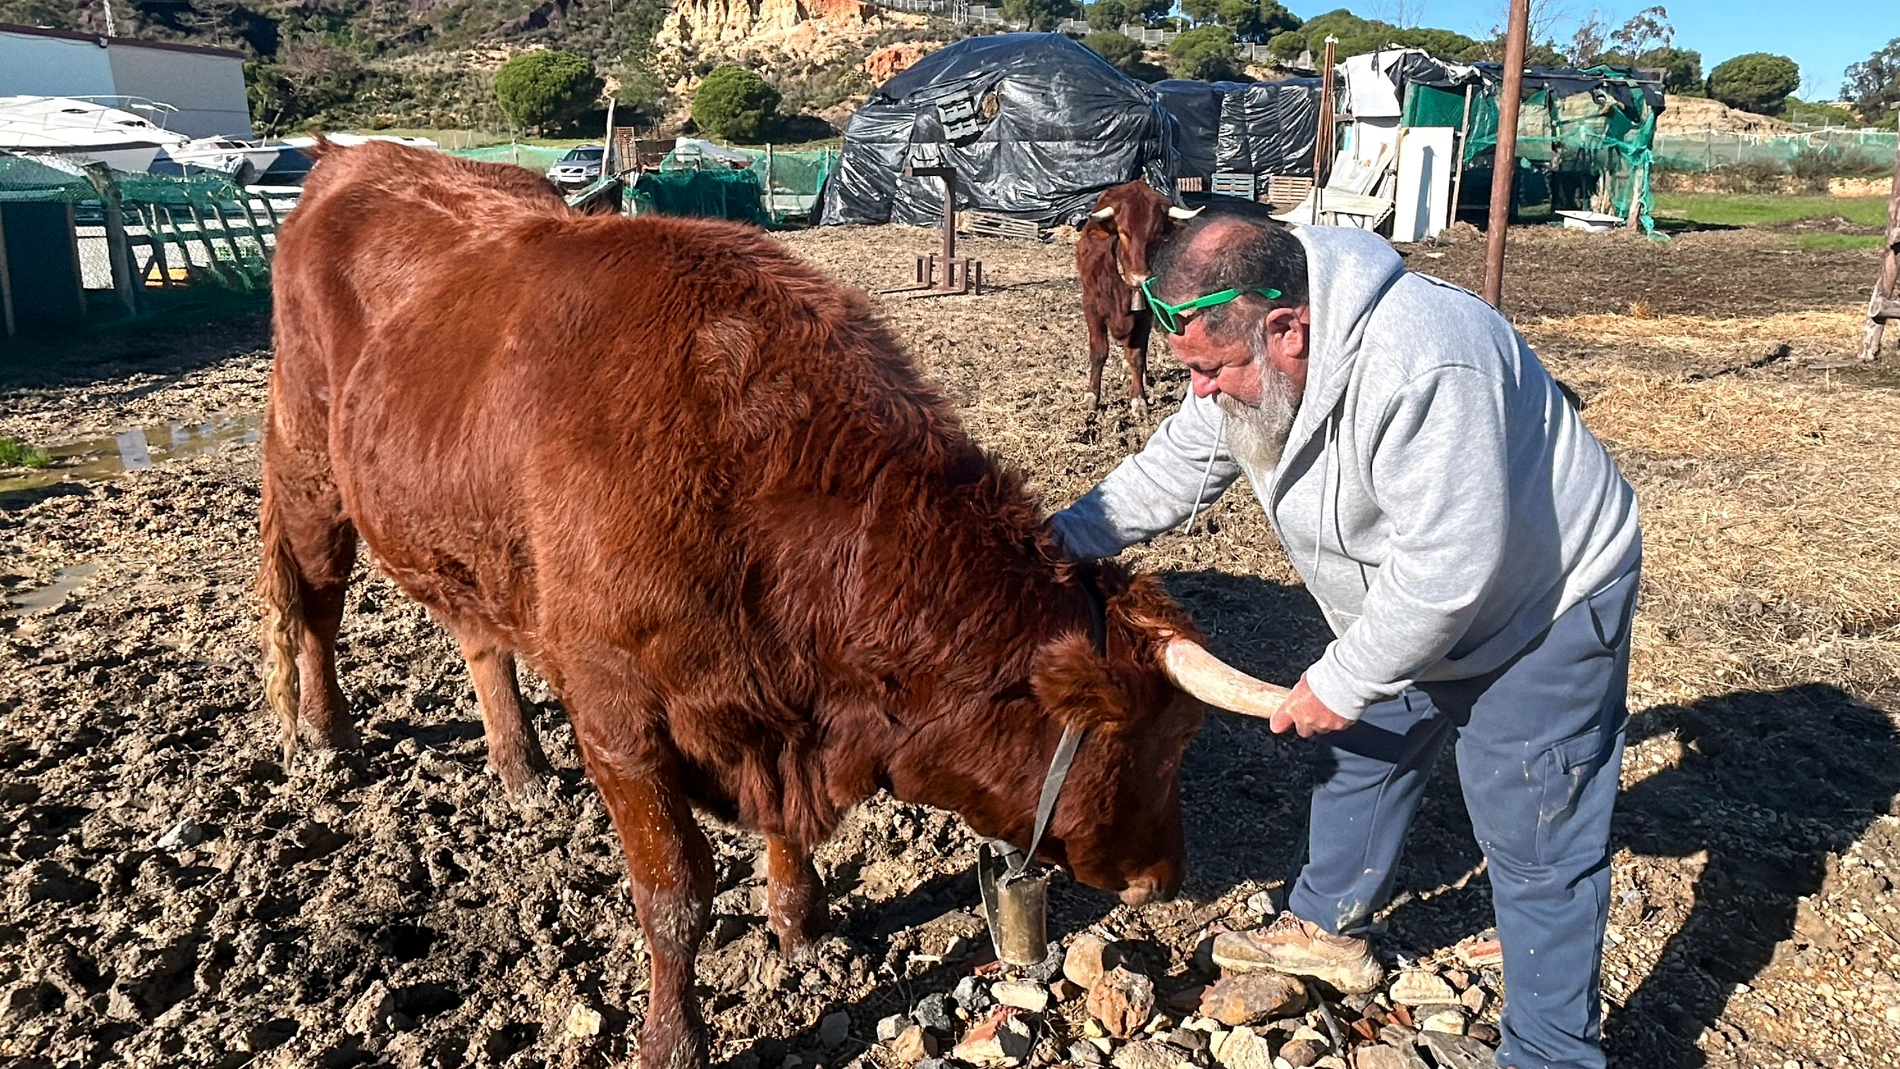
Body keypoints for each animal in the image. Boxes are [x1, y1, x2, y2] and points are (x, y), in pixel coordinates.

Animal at [1077, 181, 1197, 417]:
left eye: (1157, 234)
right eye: (1123, 233)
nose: (1140, 278)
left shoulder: (1144, 314)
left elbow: (1137, 356)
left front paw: (1138, 399)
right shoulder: (1091, 306)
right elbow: (1098, 352)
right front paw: (1091, 396)